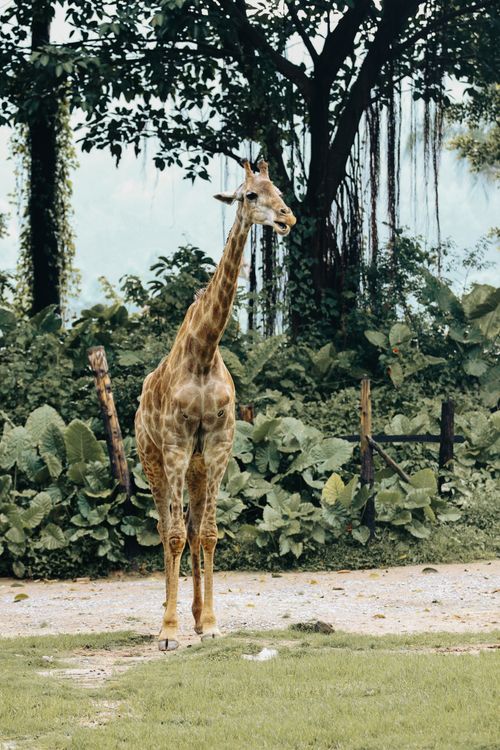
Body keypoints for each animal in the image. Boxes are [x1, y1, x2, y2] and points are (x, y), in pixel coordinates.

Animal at [135, 159, 296, 650]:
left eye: (279, 189)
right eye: (250, 195)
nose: (287, 218)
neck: (205, 352)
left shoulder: (221, 444)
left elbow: (206, 533)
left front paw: (208, 623)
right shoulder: (174, 445)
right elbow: (172, 535)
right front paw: (167, 632)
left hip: (198, 466)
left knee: (190, 526)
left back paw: (192, 614)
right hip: (152, 458)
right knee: (164, 527)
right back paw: (167, 615)